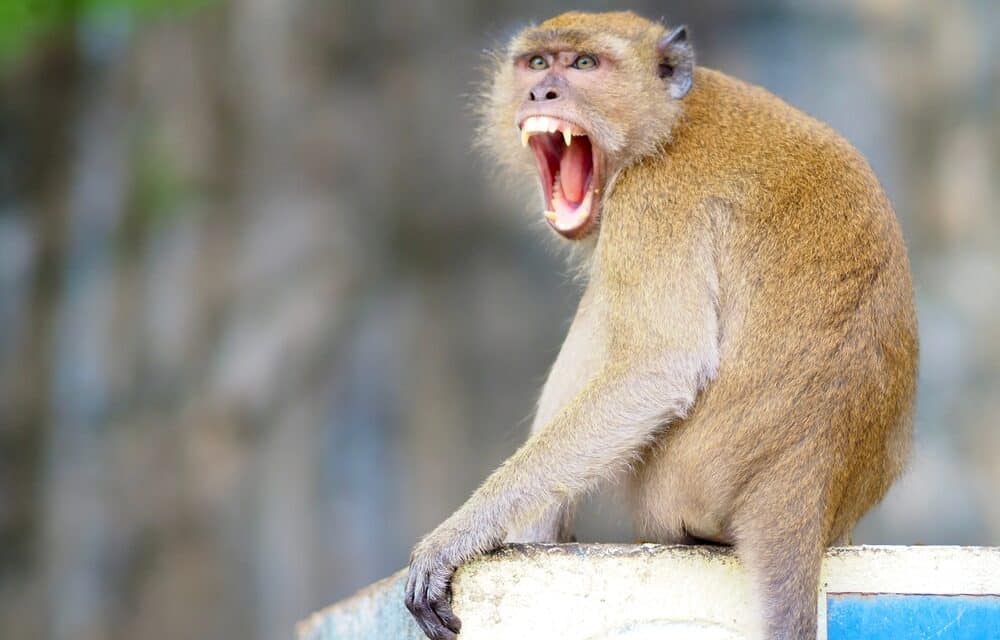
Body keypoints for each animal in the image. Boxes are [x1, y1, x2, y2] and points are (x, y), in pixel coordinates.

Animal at [405, 11, 917, 640]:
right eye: (537, 62)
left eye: (584, 64)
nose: (541, 92)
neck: (668, 120)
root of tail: (805, 485)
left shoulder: (652, 197)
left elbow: (659, 369)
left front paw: (453, 539)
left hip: (681, 488)